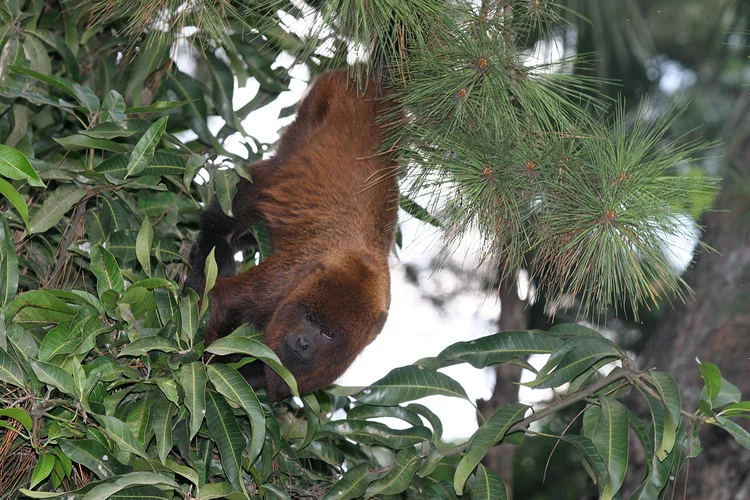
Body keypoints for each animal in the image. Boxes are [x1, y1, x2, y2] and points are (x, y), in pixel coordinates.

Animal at [187, 70, 400, 400]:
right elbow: (221, 300)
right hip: (318, 104)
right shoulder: (289, 277)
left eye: (329, 333)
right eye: (308, 317)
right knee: (259, 181)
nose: (303, 342)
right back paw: (216, 242)